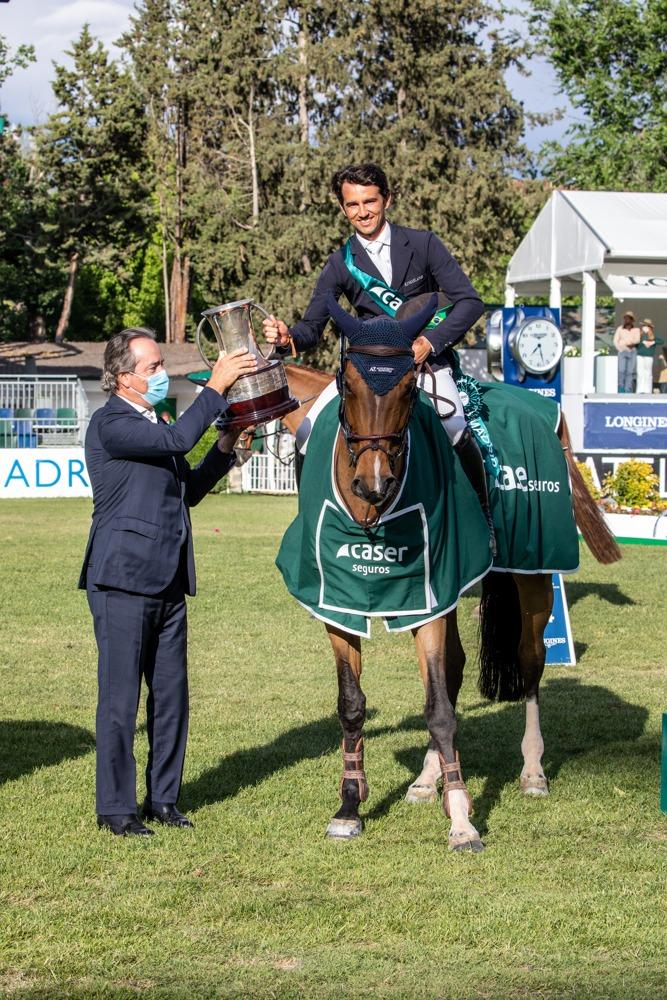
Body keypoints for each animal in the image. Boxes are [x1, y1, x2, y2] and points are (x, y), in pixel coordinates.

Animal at [268, 298, 620, 852]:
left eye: (410, 388)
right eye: (349, 386)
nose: (373, 483)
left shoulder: (431, 595)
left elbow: (438, 709)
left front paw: (461, 821)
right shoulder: (338, 603)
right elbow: (354, 704)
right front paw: (350, 805)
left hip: (533, 577)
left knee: (531, 662)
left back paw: (532, 771)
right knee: (453, 670)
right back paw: (427, 779)